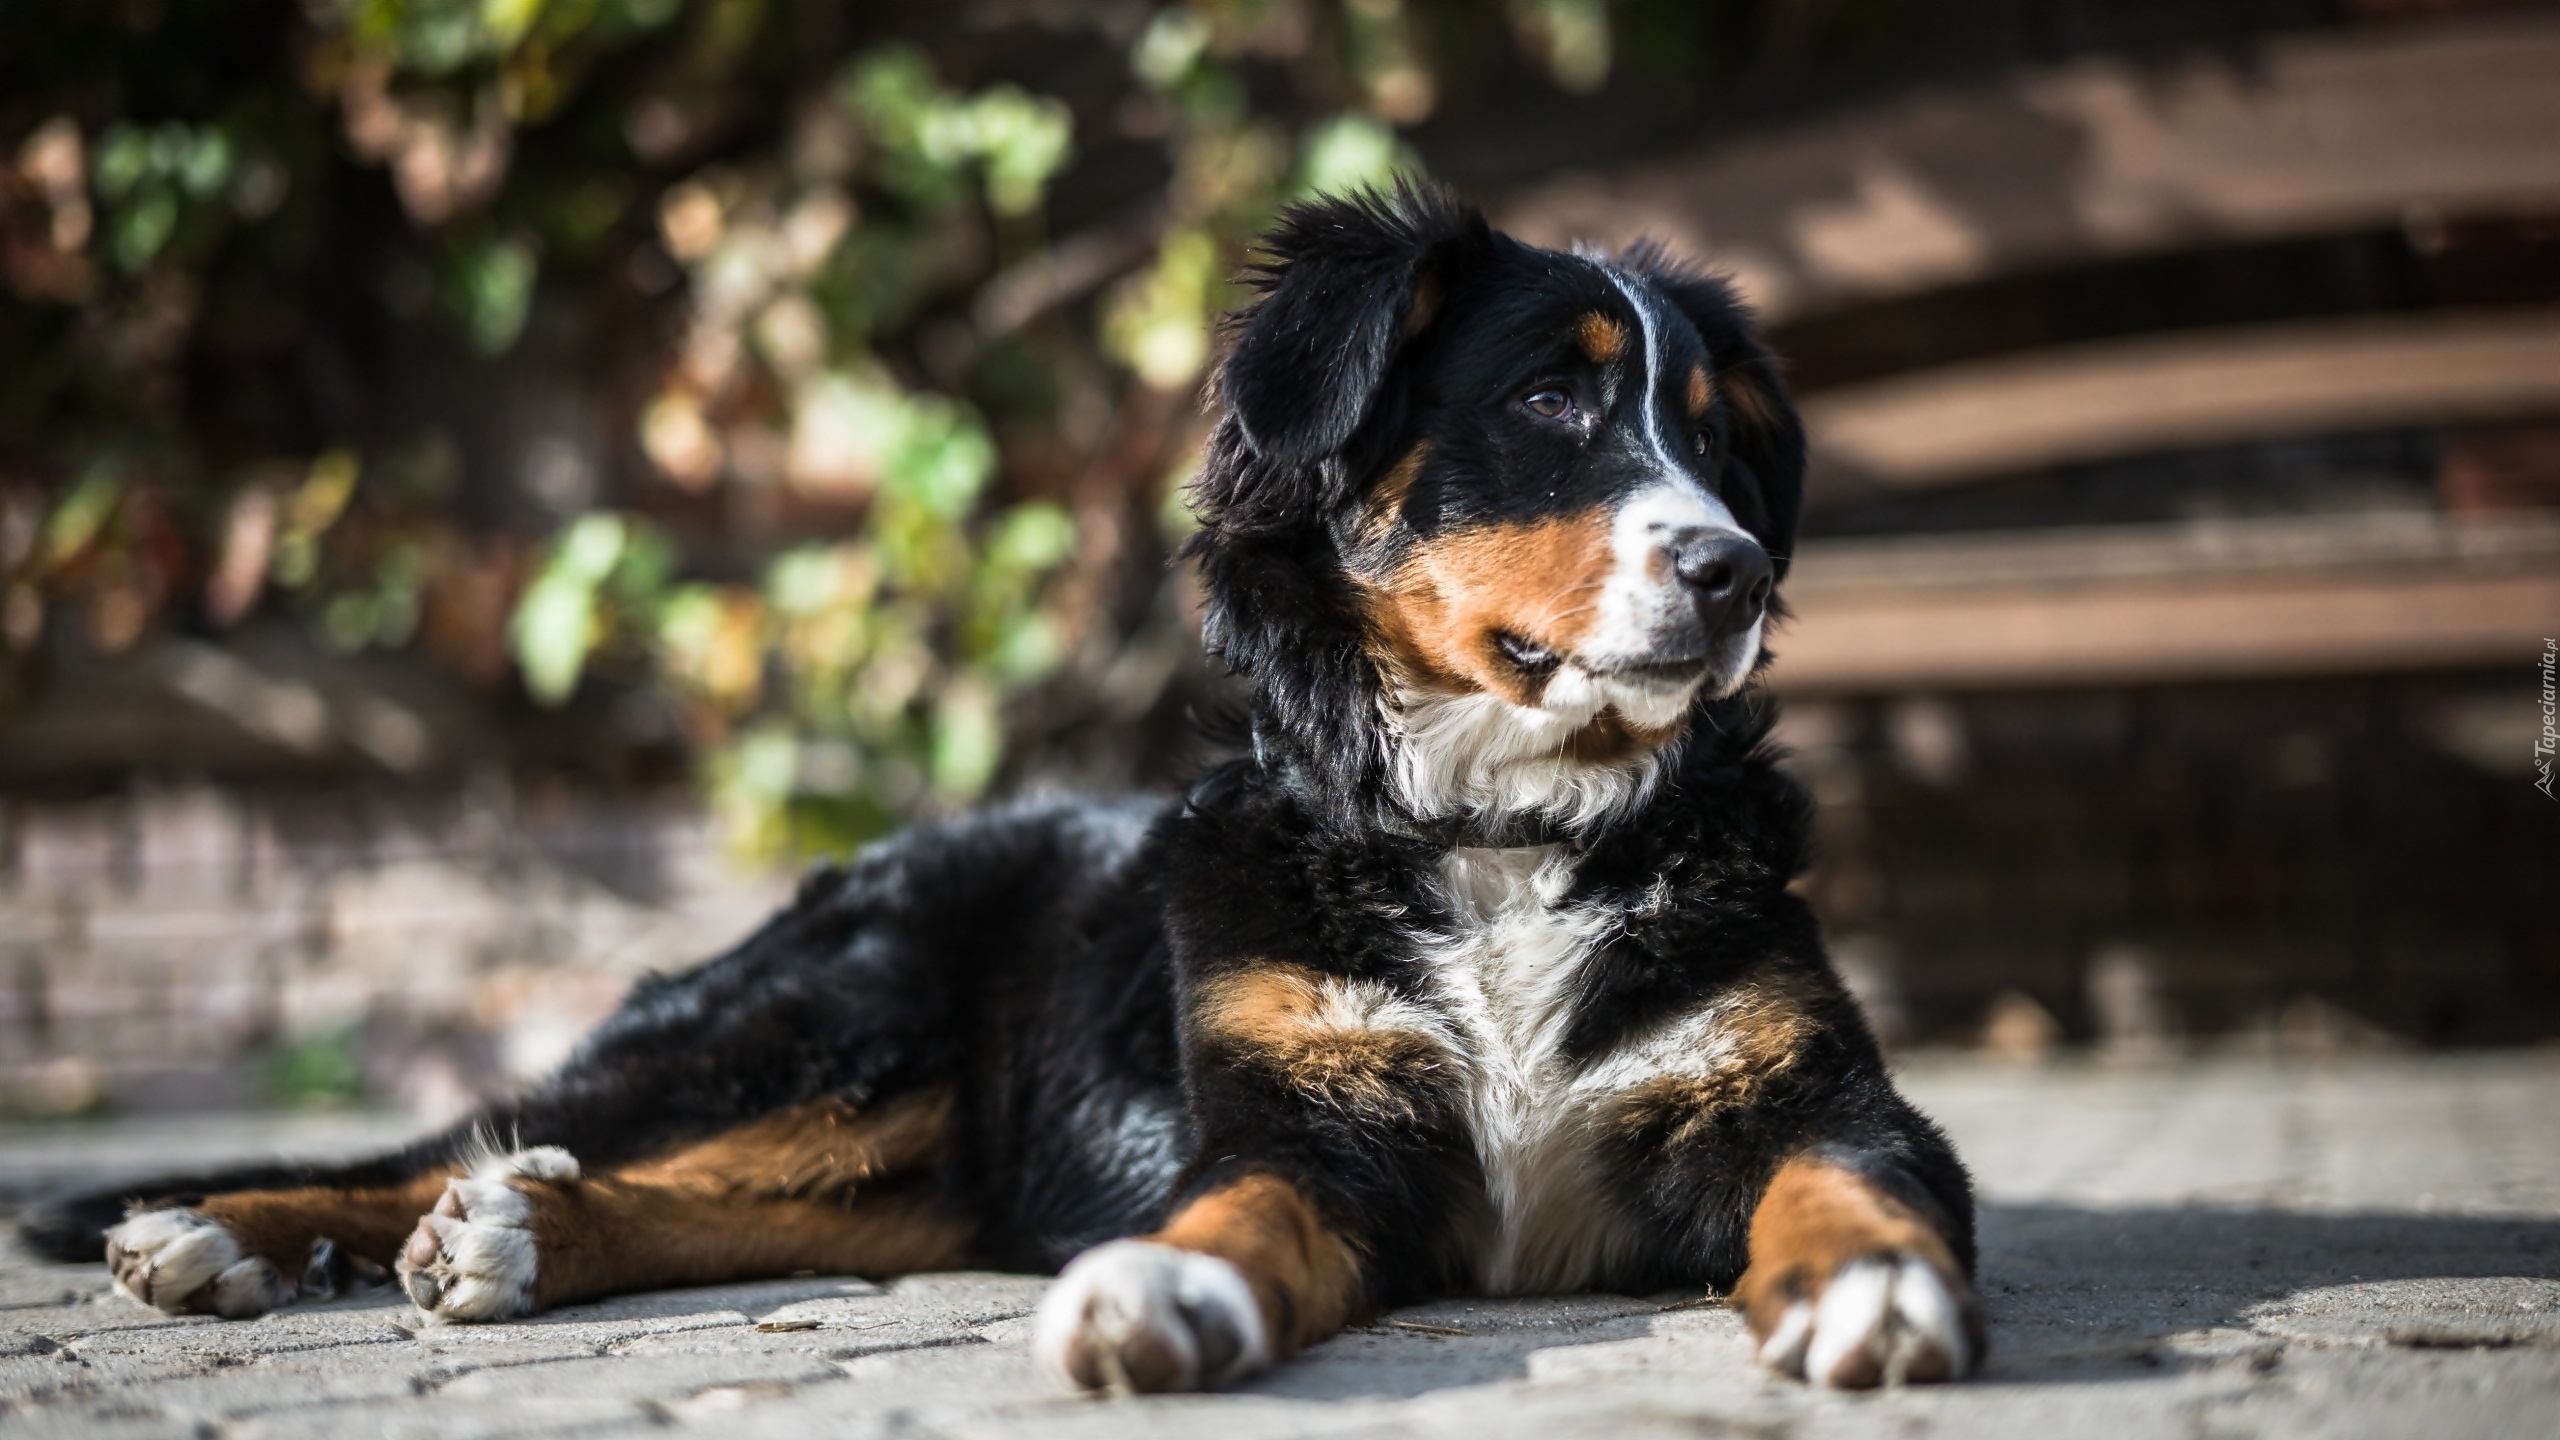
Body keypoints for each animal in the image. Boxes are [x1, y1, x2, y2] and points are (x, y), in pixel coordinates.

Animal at [15, 181, 1976, 1393]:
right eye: (1555, 407)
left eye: (1719, 436)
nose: (1731, 569)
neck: (1499, 837)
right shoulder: (1304, 1124)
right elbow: (1237, 1211)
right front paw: (1169, 1292)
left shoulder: (1812, 1092)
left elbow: (1850, 1180)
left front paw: (1868, 1287)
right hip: (831, 1018)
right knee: (471, 1137)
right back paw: (223, 1231)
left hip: (912, 1143)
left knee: (706, 1198)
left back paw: (514, 1236)